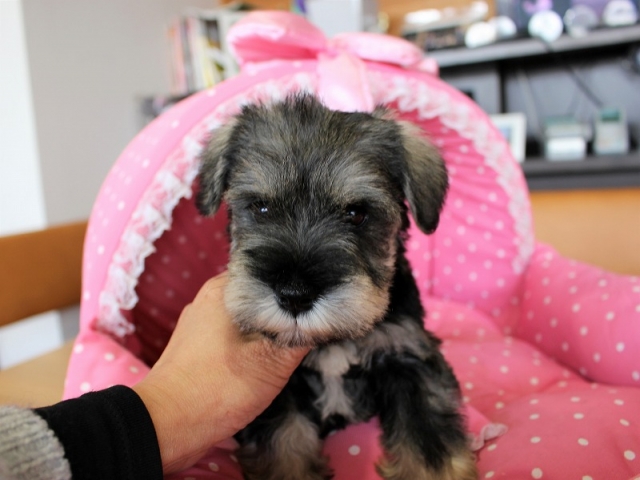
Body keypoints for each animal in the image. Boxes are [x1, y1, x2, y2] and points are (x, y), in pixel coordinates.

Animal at [197, 93, 477, 480]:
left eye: (356, 213)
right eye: (261, 207)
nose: (294, 295)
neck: (332, 341)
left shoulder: (409, 356)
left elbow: (427, 440)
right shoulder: (278, 394)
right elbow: (284, 447)